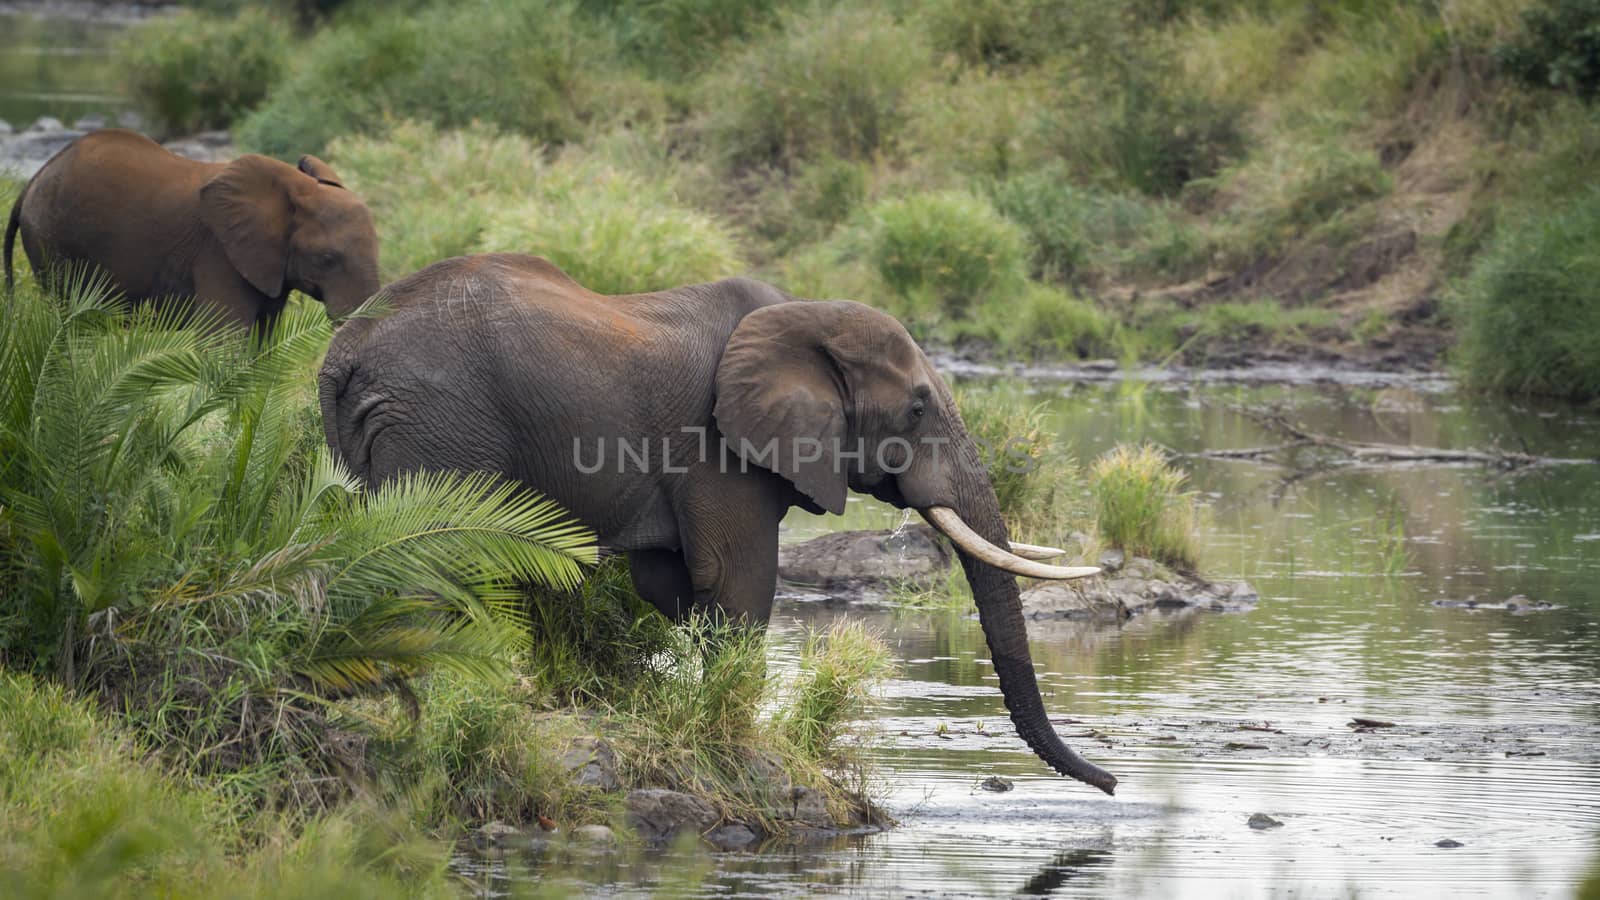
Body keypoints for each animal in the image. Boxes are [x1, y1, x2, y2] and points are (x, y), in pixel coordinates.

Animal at [3, 129, 380, 329]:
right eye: (328, 259)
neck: (295, 187)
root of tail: (33, 180)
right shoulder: (219, 253)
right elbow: (223, 337)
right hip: (50, 240)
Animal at [318, 253, 1120, 791]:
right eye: (918, 409)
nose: (1113, 785)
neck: (800, 317)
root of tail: (344, 352)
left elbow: (674, 582)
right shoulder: (718, 445)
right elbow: (737, 579)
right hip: (440, 429)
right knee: (432, 563)